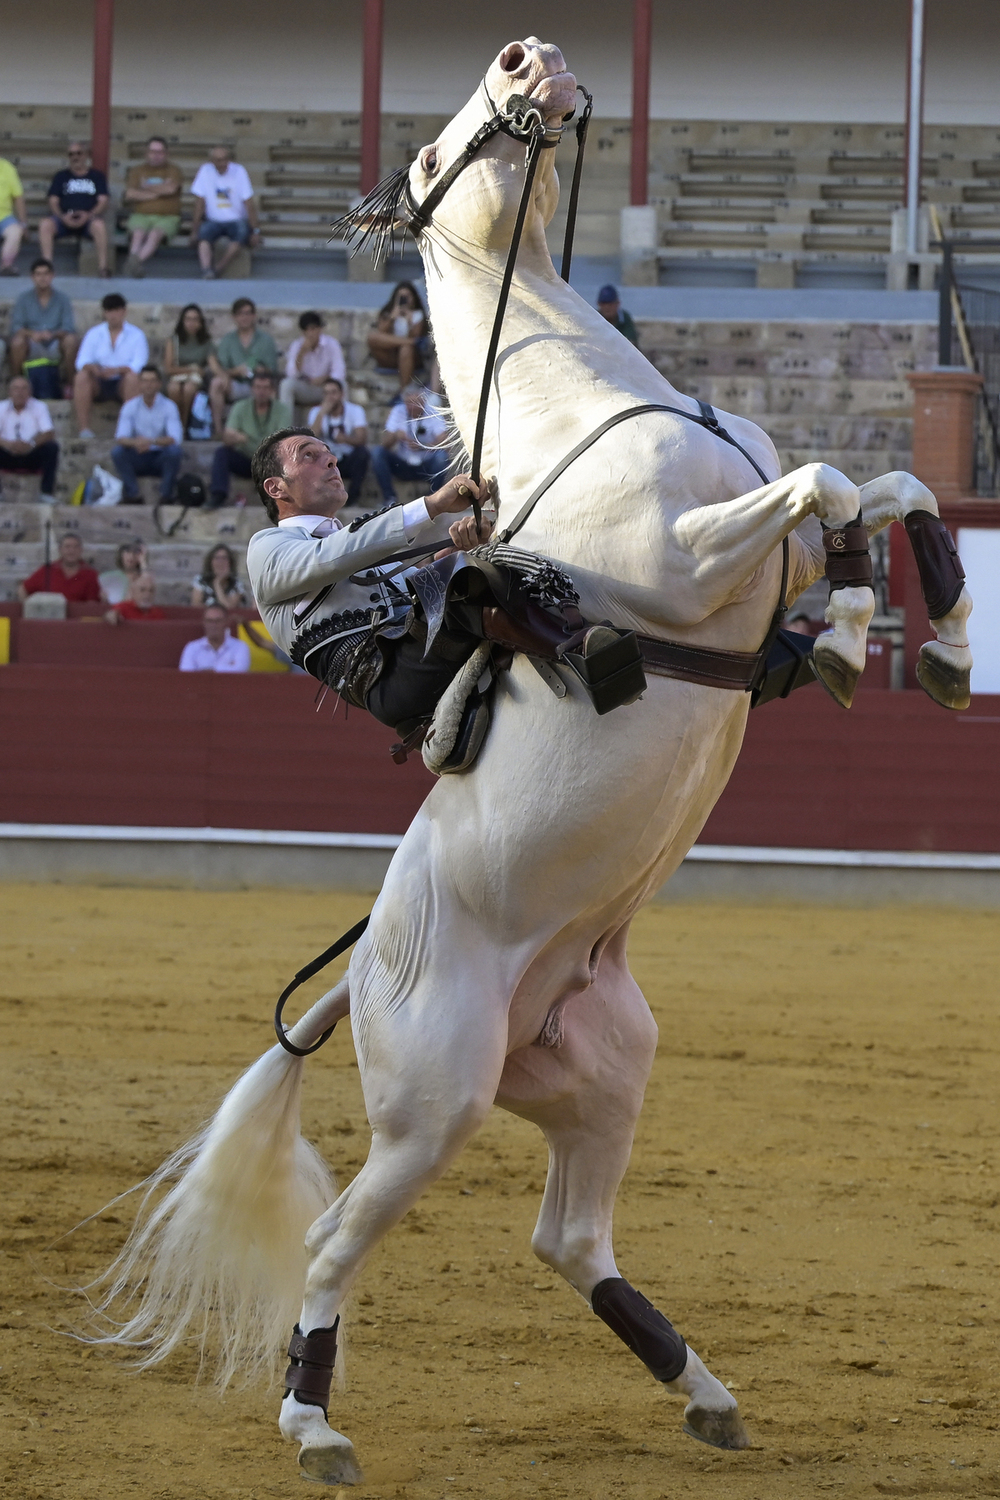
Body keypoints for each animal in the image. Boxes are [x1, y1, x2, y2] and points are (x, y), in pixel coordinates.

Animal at [89, 35, 971, 1488]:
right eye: (432, 152)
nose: (532, 57)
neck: (581, 407)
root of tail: (359, 986)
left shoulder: (759, 541)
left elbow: (893, 488)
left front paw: (935, 637)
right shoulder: (690, 561)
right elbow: (837, 485)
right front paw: (853, 631)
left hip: (605, 1065)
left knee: (568, 1236)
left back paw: (704, 1392)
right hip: (435, 1100)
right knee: (336, 1239)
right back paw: (313, 1421)